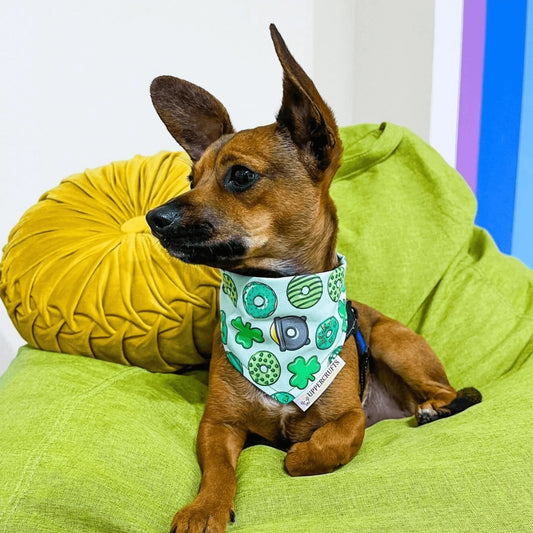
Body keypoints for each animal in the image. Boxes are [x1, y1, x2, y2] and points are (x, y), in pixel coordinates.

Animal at [145, 22, 482, 528]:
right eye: (191, 179)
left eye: (240, 176)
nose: (154, 219)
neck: (279, 303)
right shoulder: (218, 423)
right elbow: (218, 468)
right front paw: (205, 507)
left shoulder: (351, 418)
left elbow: (322, 447)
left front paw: (299, 453)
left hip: (393, 342)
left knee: (451, 390)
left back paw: (432, 409)